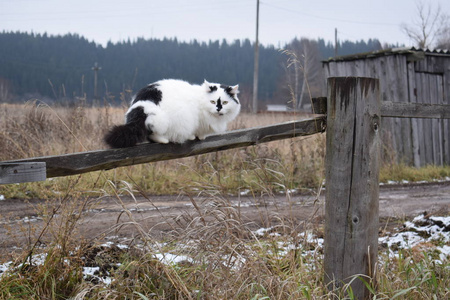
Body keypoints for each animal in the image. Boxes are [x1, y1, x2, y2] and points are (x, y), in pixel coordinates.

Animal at [104, 78, 241, 147]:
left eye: (225, 103)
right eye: (212, 102)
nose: (219, 109)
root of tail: (142, 104)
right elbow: (196, 132)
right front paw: (196, 136)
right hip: (162, 120)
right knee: (153, 134)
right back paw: (164, 140)